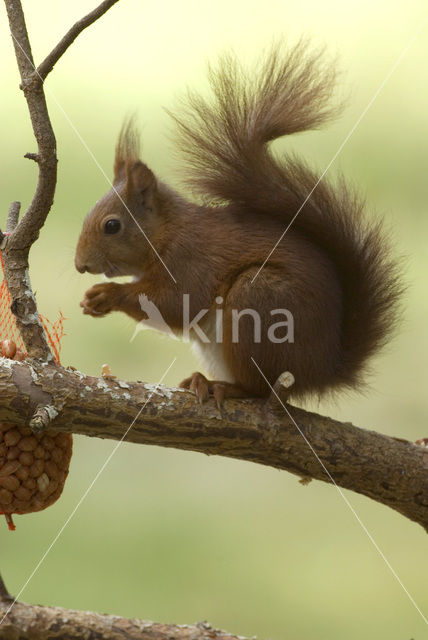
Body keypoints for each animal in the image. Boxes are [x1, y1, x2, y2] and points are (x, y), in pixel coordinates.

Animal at [74, 41, 402, 404]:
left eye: (112, 226)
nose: (80, 265)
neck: (167, 234)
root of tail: (322, 372)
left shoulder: (191, 260)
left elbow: (174, 304)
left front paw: (107, 295)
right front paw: (91, 302)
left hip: (257, 305)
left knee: (258, 388)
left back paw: (224, 387)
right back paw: (200, 381)